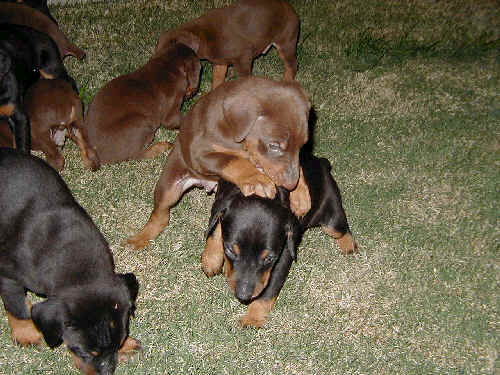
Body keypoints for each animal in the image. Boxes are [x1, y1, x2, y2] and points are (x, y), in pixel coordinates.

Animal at [0, 148, 142, 375]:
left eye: (117, 345)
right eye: (84, 352)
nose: (107, 372)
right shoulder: (8, 275)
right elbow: (15, 305)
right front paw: (25, 333)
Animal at [127, 76, 310, 251]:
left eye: (302, 145)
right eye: (274, 146)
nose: (290, 185)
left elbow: (298, 165)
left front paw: (300, 194)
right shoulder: (198, 153)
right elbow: (233, 161)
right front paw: (257, 179)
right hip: (170, 185)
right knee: (161, 214)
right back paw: (140, 238)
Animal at [159, 0, 300, 89]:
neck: (203, 36)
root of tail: (290, 8)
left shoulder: (244, 58)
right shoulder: (220, 63)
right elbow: (217, 80)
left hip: (286, 43)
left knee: (292, 65)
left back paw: (287, 82)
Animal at [201, 153, 358, 328]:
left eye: (269, 258)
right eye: (229, 250)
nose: (243, 296)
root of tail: (321, 162)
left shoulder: (285, 253)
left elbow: (270, 288)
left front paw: (253, 318)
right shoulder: (221, 200)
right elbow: (216, 227)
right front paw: (211, 260)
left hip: (331, 212)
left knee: (342, 229)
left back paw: (348, 246)